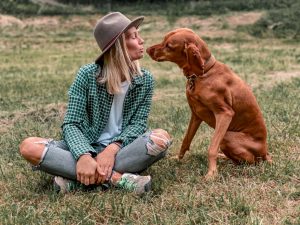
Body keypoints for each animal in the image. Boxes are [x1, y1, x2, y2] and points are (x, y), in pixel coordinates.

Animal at [147, 28, 272, 179]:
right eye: (163, 40)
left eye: (168, 46)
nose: (147, 50)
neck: (204, 73)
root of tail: (265, 152)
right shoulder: (195, 114)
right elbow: (186, 140)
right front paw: (178, 158)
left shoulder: (224, 114)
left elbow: (212, 148)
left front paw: (212, 172)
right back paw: (224, 158)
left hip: (228, 137)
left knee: (251, 162)